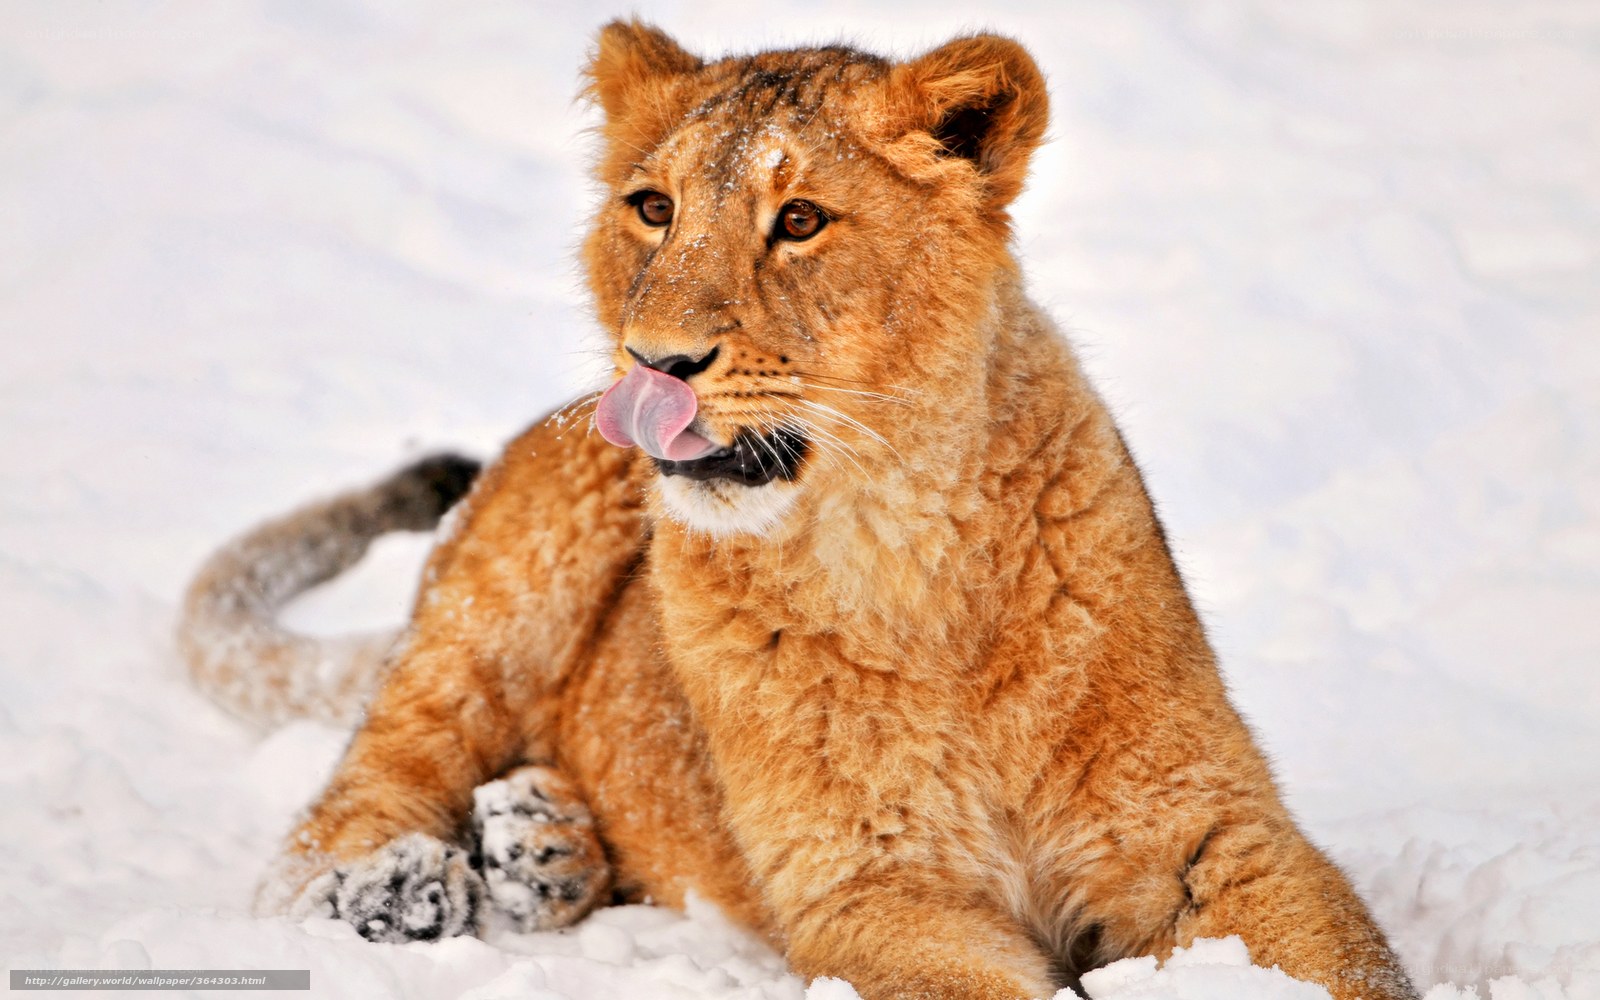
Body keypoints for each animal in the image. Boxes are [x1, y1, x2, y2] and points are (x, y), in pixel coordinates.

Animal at [179, 21, 1419, 1000]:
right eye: (653, 208)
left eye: (802, 221)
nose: (655, 363)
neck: (904, 549)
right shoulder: (872, 890)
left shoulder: (1214, 831)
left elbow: (1348, 961)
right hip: (492, 604)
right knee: (335, 812)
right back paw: (397, 887)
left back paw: (543, 846)